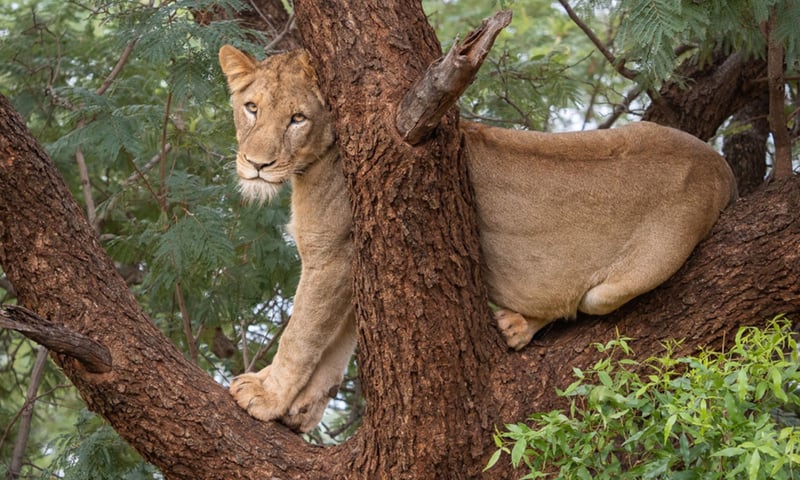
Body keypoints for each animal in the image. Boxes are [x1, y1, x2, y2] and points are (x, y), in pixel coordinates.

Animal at [218, 45, 737, 433]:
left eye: (297, 118)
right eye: (251, 109)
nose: (257, 165)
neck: (315, 159)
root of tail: (720, 166)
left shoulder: (332, 255)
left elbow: (303, 334)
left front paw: (266, 395)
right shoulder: (355, 259)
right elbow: (335, 346)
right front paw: (300, 411)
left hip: (616, 285)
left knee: (578, 302)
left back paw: (517, 324)